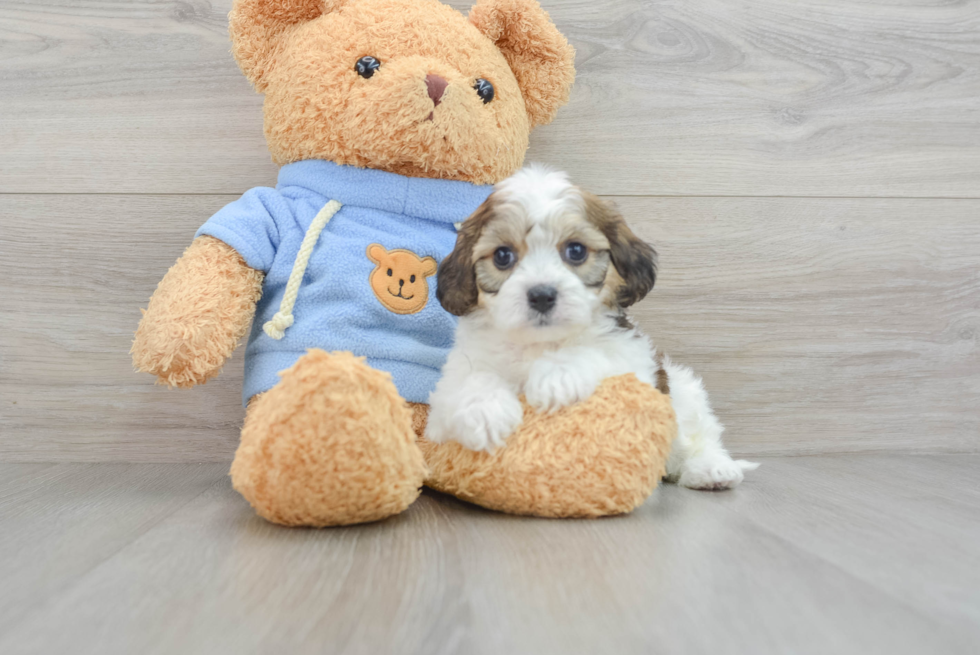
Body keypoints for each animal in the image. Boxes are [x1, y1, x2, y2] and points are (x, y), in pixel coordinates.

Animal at [426, 167, 756, 490]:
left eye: (576, 251)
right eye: (502, 256)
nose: (542, 295)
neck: (541, 344)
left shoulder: (635, 363)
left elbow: (598, 354)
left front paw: (558, 374)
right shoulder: (443, 405)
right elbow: (469, 380)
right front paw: (484, 410)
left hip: (682, 389)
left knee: (698, 437)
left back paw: (712, 468)